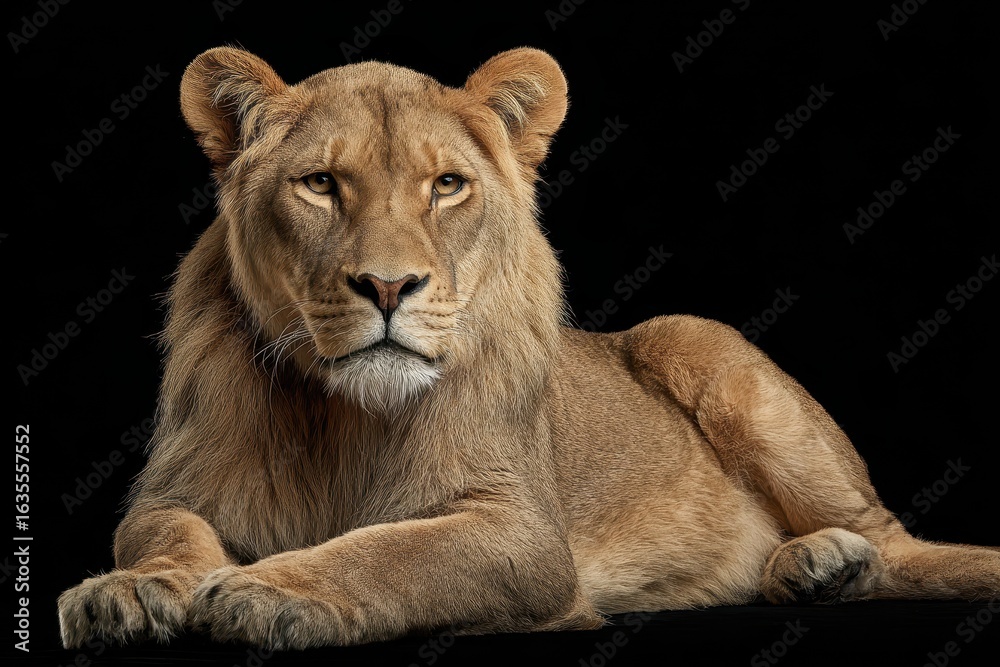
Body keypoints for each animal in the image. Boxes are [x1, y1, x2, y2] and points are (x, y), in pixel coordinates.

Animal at [58, 46, 1000, 650]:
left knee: (897, 542)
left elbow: (395, 550)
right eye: (320, 184)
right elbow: (160, 533)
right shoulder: (179, 487)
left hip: (703, 342)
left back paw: (845, 560)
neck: (343, 414)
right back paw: (806, 566)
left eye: (447, 184)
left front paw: (273, 587)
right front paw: (128, 592)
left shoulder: (520, 531)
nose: (389, 287)